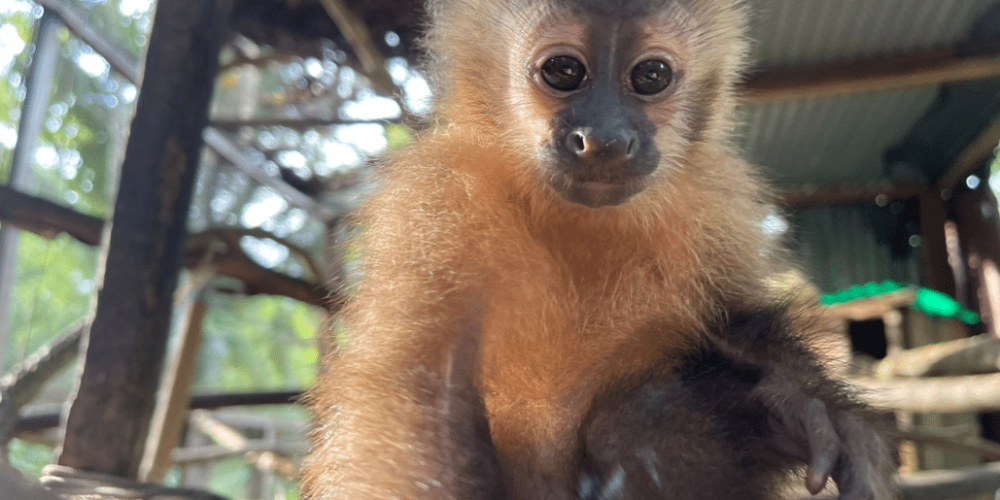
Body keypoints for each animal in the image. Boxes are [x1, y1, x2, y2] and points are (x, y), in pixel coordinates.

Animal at [300, 0, 896, 500]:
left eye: (650, 76)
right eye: (564, 71)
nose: (605, 139)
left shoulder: (716, 200)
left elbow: (735, 324)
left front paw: (806, 406)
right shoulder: (438, 195)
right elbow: (420, 396)